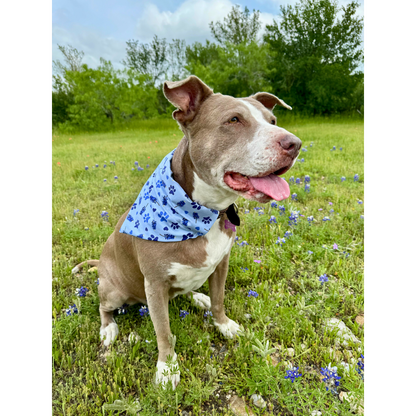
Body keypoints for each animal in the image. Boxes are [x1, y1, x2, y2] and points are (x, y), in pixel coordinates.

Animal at [71, 75, 300, 390]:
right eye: (234, 120)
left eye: (273, 119)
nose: (295, 144)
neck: (206, 212)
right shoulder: (154, 284)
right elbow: (163, 332)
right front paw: (167, 369)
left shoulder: (221, 262)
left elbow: (219, 300)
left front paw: (223, 324)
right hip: (114, 290)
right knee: (105, 307)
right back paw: (108, 329)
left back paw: (198, 297)